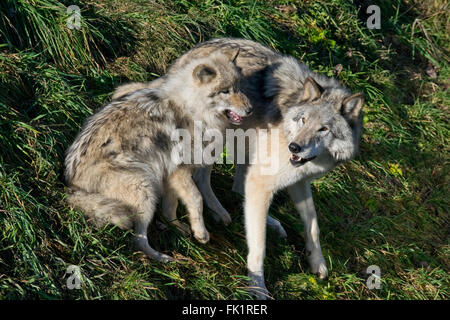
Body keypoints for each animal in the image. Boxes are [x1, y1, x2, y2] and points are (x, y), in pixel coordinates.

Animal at [65, 49, 253, 260]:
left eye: (239, 88)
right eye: (225, 91)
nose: (250, 109)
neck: (193, 110)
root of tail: (72, 185)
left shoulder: (169, 174)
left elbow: (170, 206)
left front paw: (177, 226)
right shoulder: (180, 171)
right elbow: (197, 198)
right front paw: (201, 233)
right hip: (145, 188)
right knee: (138, 240)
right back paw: (162, 258)